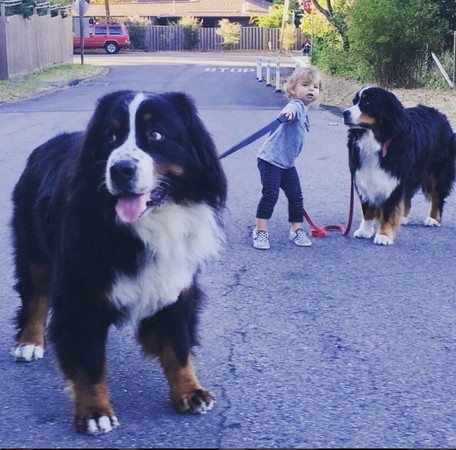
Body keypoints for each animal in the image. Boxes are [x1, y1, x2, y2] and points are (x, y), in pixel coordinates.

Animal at [11, 90, 228, 432]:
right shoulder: (80, 292)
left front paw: (189, 392)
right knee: (36, 296)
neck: (147, 225)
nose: (120, 169)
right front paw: (94, 412)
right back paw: (29, 342)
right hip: (34, 252)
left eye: (156, 135)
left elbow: (178, 346)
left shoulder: (177, 283)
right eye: (110, 137)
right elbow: (89, 362)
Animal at [344, 85, 454, 244]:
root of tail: (441, 115)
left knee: (437, 196)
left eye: (367, 103)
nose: (344, 113)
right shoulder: (363, 176)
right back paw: (402, 217)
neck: (376, 141)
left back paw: (433, 219)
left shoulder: (394, 180)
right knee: (407, 197)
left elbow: (388, 210)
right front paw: (365, 230)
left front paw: (383, 235)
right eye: (354, 101)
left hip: (437, 172)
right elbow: (368, 208)